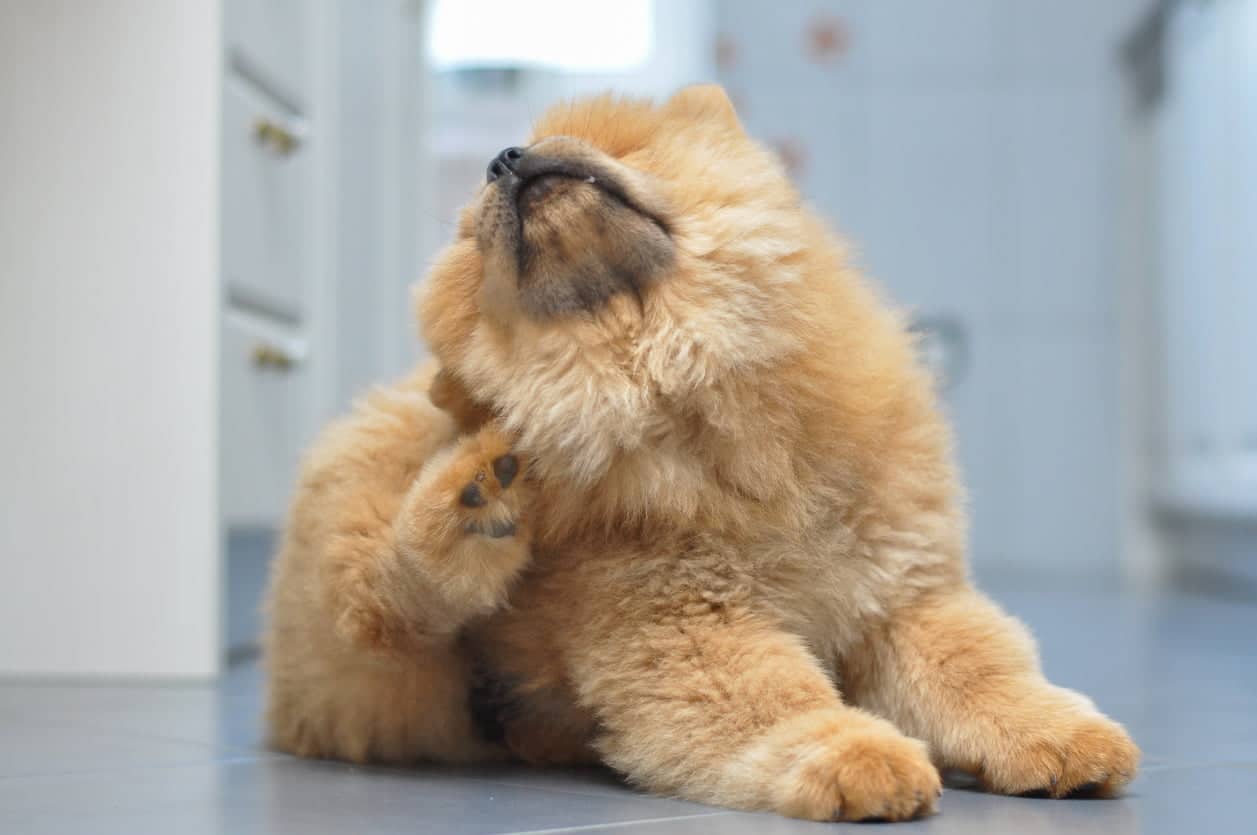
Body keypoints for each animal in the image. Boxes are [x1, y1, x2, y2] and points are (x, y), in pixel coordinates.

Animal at [265, 86, 1141, 819]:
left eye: (622, 145)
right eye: (475, 240)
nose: (504, 156)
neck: (686, 387)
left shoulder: (906, 596)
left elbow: (981, 671)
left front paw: (1061, 736)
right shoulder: (685, 623)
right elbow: (780, 699)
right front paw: (859, 758)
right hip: (381, 551)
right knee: (376, 610)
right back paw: (467, 507)